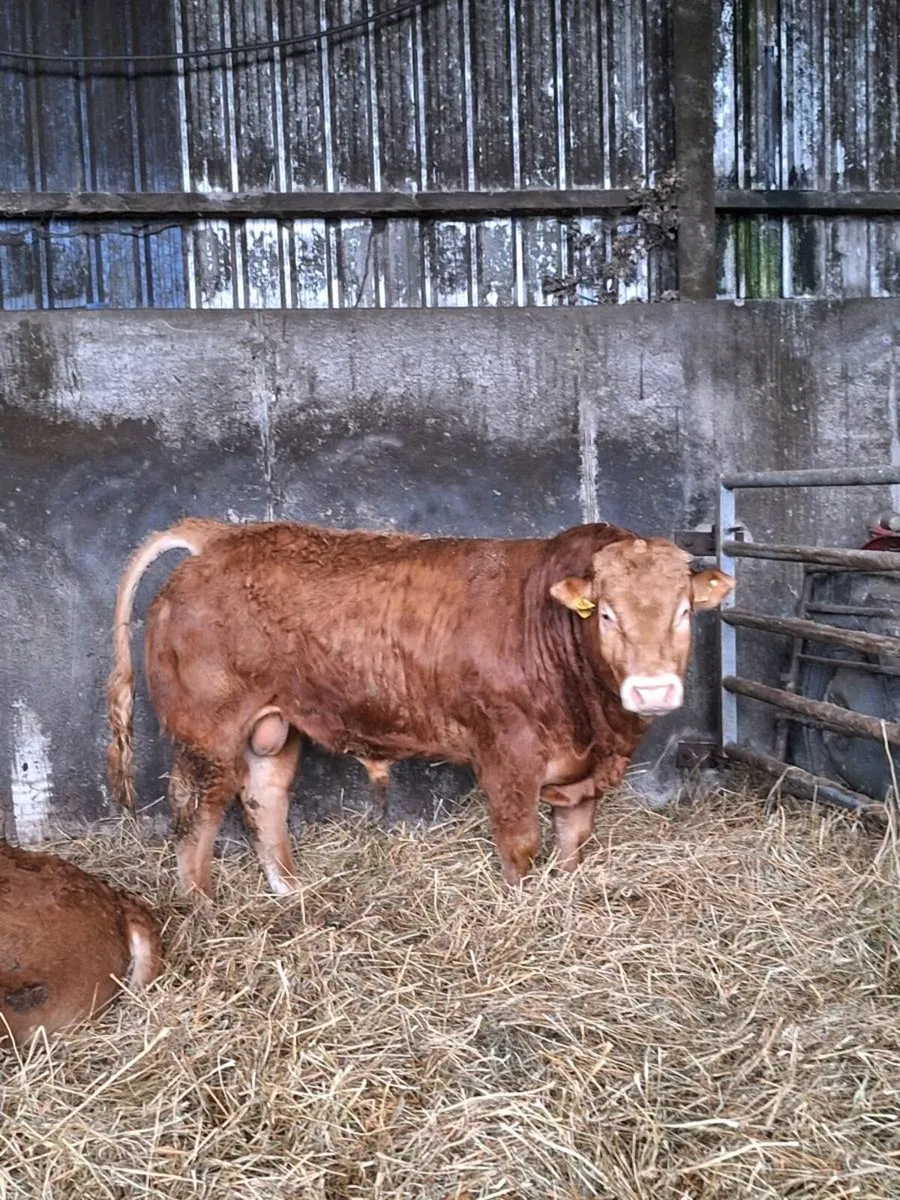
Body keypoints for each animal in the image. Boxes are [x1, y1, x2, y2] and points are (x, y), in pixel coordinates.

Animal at [107, 518, 733, 898]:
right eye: (605, 614)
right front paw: (523, 905)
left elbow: (572, 843)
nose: (652, 691)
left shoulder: (582, 772)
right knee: (195, 809)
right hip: (208, 730)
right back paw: (203, 905)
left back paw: (289, 889)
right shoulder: (507, 753)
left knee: (264, 796)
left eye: (684, 611)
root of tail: (219, 536)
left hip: (274, 724)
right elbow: (520, 842)